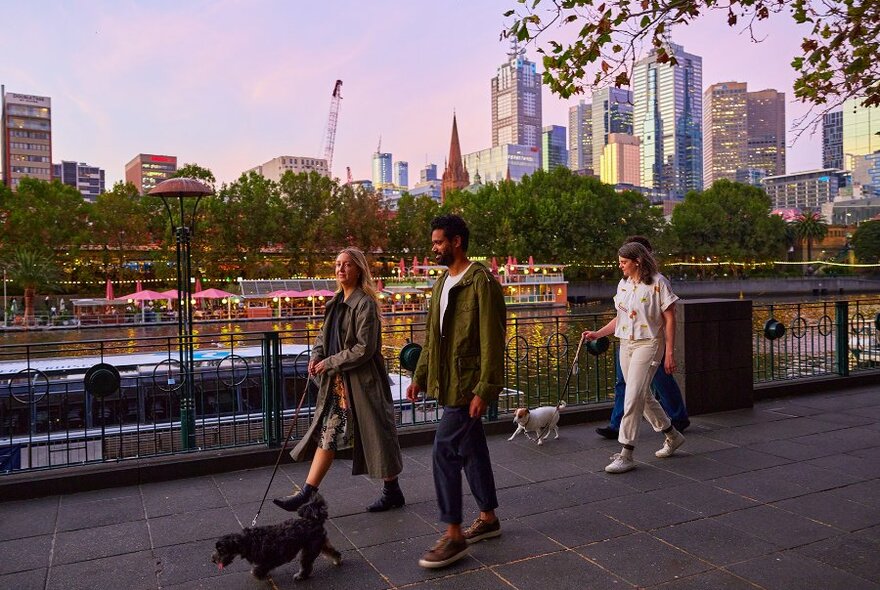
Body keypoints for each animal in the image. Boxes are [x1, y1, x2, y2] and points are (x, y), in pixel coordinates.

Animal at [211, 494, 342, 584]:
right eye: (216, 549)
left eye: (221, 550)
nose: (212, 560)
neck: (248, 541)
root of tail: (316, 520)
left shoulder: (271, 560)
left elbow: (257, 571)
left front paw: (261, 576)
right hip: (319, 544)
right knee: (333, 551)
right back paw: (337, 560)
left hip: (309, 550)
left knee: (306, 566)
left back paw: (300, 576)